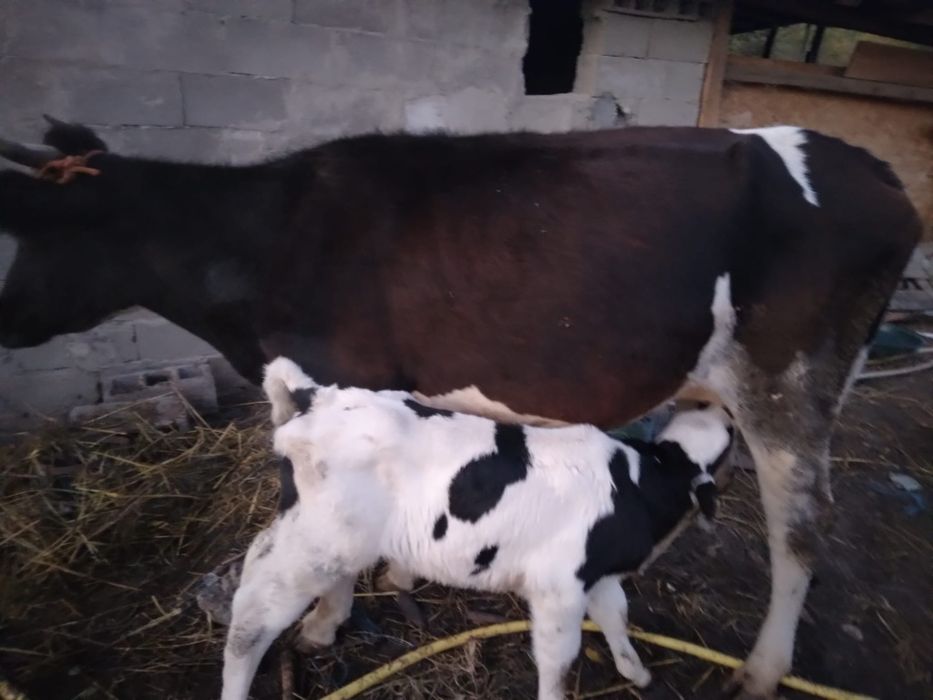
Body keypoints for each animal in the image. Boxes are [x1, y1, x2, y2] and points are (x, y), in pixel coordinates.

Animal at [221, 357, 734, 700]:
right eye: (730, 445)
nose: (728, 411)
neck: (639, 485)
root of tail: (316, 397)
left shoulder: (596, 574)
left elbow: (616, 614)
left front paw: (637, 672)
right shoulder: (558, 589)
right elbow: (558, 657)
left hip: (318, 534)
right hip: (317, 543)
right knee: (251, 616)